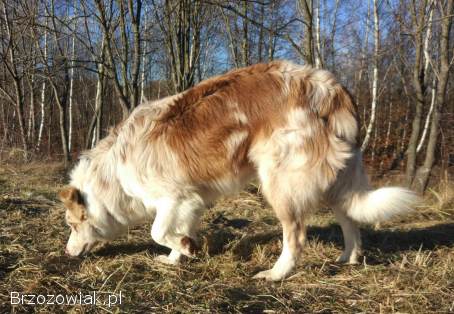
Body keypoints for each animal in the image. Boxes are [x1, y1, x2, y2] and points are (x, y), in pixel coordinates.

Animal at [58, 60, 416, 280]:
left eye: (73, 225)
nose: (66, 252)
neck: (114, 174)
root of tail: (328, 88)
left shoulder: (173, 198)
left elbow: (157, 232)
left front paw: (184, 248)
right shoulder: (190, 202)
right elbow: (177, 232)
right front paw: (177, 255)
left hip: (281, 183)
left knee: (296, 235)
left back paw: (276, 274)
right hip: (332, 181)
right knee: (349, 218)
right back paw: (349, 258)